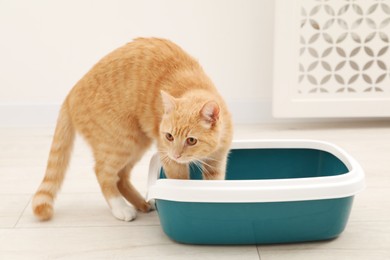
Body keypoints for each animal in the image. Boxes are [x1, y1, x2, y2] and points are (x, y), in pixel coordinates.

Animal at [32, 38, 233, 221]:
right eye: (169, 136)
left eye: (191, 140)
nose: (176, 154)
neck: (195, 87)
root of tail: (71, 92)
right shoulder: (169, 158)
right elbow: (179, 183)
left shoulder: (217, 162)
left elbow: (214, 185)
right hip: (121, 143)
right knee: (103, 173)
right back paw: (120, 208)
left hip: (137, 144)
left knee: (121, 178)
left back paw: (142, 203)